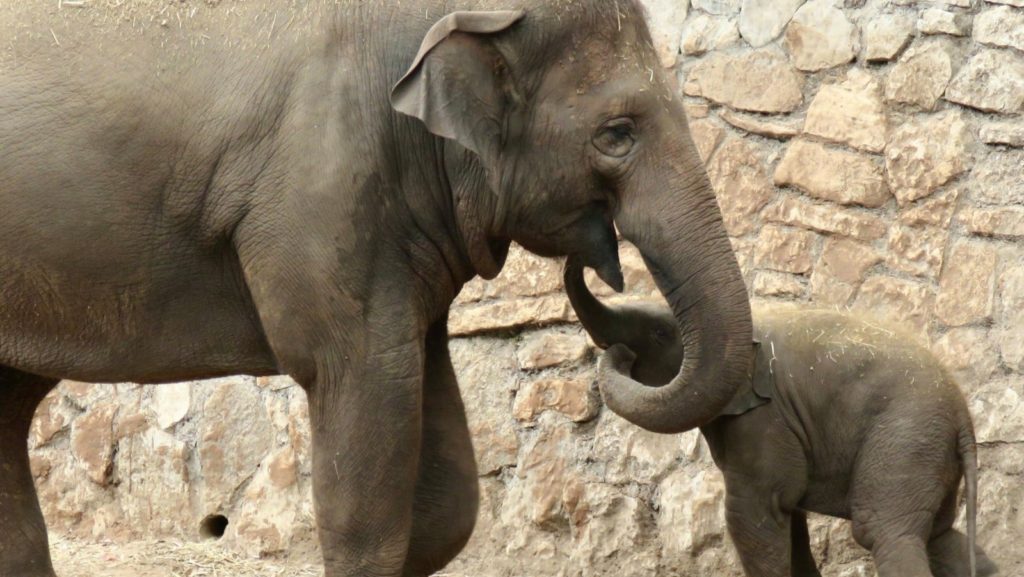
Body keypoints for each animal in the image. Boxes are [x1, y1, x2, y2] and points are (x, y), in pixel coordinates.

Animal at [565, 259, 998, 577]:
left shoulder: (766, 419)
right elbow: (792, 520)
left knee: (887, 534)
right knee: (941, 537)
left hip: (906, 438)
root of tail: (963, 414)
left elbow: (755, 513)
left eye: (658, 334)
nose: (618, 353)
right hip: (928, 450)